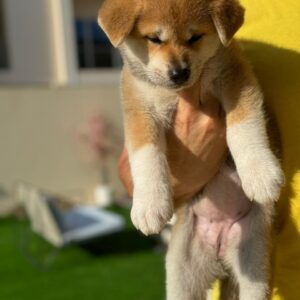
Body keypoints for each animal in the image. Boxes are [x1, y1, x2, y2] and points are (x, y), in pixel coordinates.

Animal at [98, 0, 284, 298]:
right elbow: (146, 156)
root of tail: (220, 253)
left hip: (254, 258)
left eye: (195, 37)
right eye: (154, 38)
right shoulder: (139, 110)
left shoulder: (236, 79)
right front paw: (149, 205)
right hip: (182, 273)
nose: (179, 73)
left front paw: (260, 174)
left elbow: (244, 127)